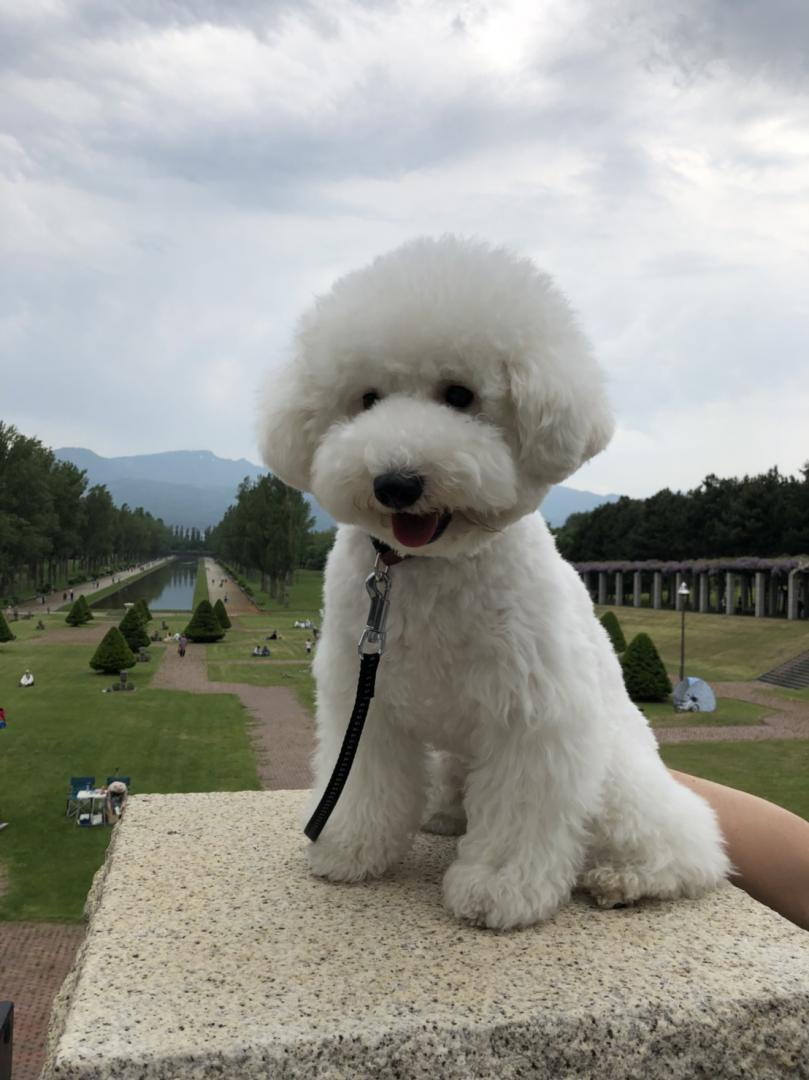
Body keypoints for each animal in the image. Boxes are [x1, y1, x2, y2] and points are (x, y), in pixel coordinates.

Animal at [259, 236, 725, 928]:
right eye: (366, 399)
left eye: (460, 395)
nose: (396, 482)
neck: (428, 567)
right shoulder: (364, 697)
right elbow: (363, 781)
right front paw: (349, 847)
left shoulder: (532, 714)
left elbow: (520, 813)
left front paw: (498, 888)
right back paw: (444, 814)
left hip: (617, 771)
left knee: (680, 840)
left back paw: (626, 877)